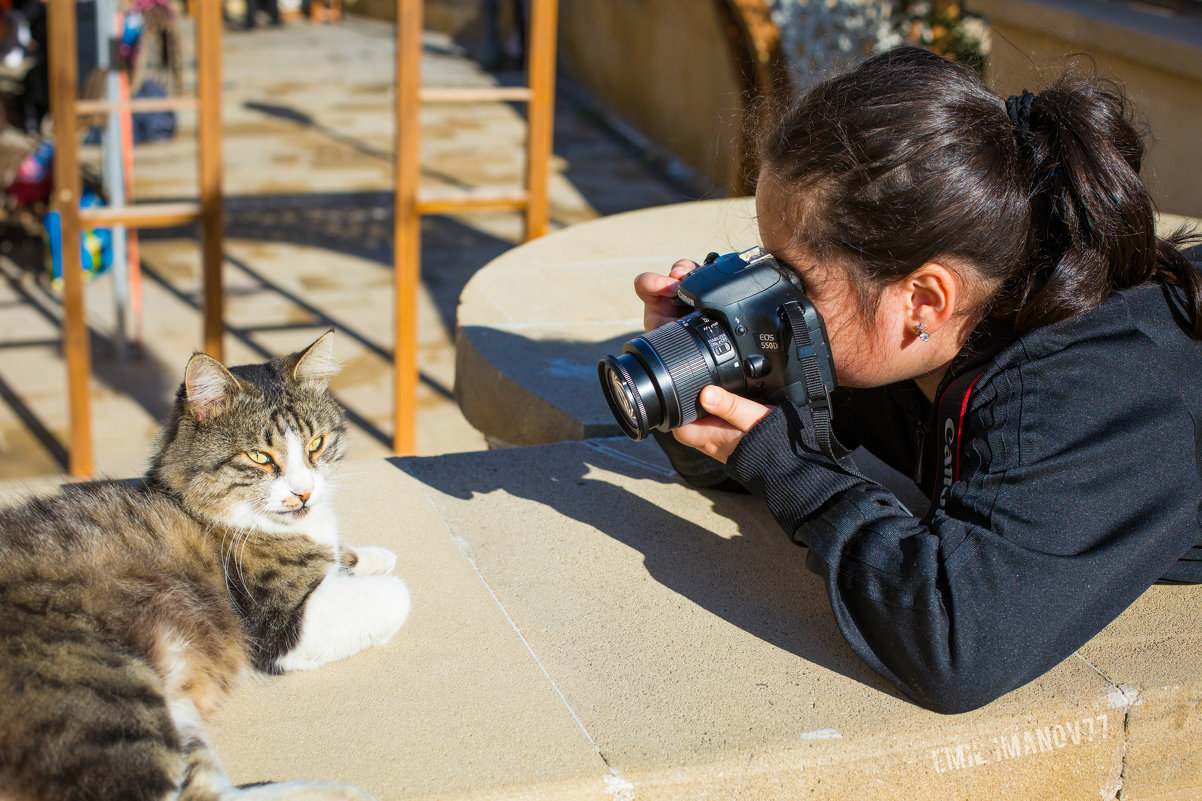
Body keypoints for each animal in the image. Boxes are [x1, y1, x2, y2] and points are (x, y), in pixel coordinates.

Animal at [0, 329, 408, 798]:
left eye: (315, 445)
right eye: (260, 457)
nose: (304, 493)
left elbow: (342, 554)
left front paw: (371, 555)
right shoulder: (280, 624)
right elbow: (396, 595)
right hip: (106, 693)